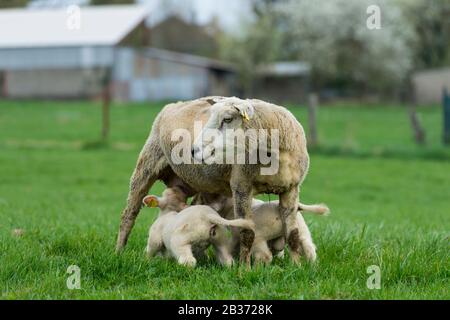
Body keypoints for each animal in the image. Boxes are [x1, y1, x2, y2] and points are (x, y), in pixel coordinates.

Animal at [116, 96, 312, 266]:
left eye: (227, 119)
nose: (193, 150)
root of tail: (175, 103)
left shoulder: (292, 188)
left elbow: (293, 234)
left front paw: (296, 266)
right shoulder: (241, 185)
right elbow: (247, 233)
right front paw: (245, 269)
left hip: (193, 182)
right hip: (147, 163)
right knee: (129, 214)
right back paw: (119, 252)